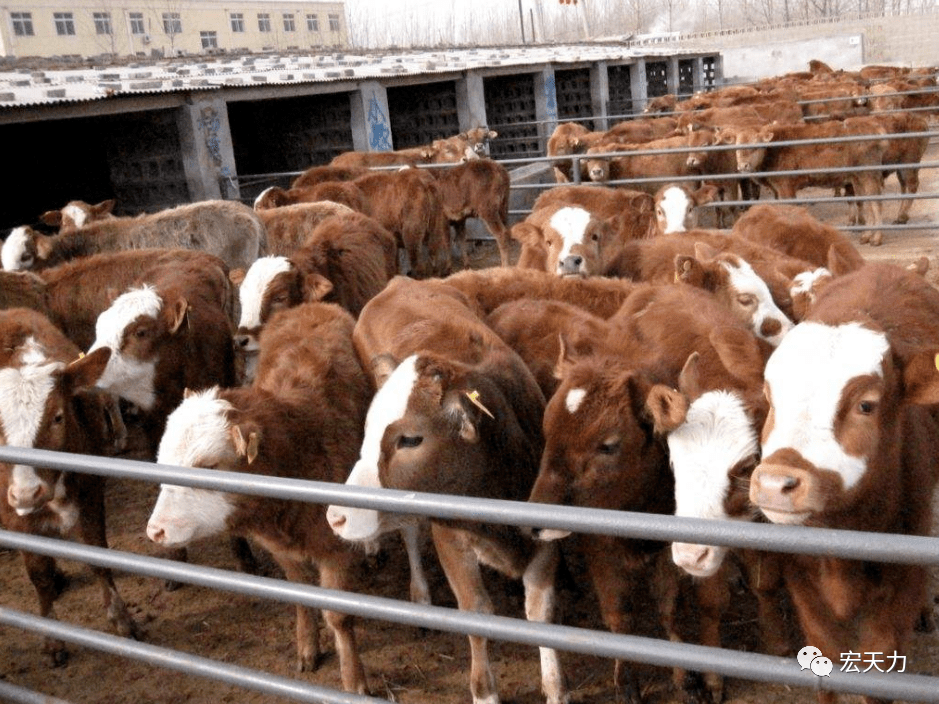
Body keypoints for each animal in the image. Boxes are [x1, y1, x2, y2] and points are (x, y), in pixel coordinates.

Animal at [0, 306, 140, 660]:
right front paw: (52, 637)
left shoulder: (91, 490)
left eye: (58, 417)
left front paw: (122, 619)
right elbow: (38, 571)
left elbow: (98, 554)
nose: (27, 494)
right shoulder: (10, 511)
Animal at [147, 302, 370, 692]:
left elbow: (339, 617)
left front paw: (354, 680)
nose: (156, 531)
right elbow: (301, 596)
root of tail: (310, 305)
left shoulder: (334, 550)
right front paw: (307, 646)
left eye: (208, 466)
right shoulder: (282, 550)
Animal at [326, 278, 568, 704]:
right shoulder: (450, 537)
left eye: (410, 439)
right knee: (408, 532)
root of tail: (399, 282)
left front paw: (555, 688)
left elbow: (540, 613)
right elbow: (476, 612)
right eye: (369, 432)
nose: (336, 515)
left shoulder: (543, 538)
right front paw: (484, 691)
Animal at [748, 262, 939, 704]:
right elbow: (826, 661)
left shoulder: (898, 589)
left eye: (866, 405)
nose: (774, 483)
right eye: (769, 396)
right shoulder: (802, 581)